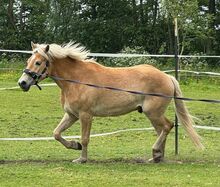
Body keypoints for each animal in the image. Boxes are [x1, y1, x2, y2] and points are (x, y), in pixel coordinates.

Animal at [18, 41, 204, 163]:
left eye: (38, 62)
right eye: (28, 61)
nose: (22, 83)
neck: (76, 80)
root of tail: (167, 77)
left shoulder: (86, 115)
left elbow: (85, 138)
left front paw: (82, 158)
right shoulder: (71, 115)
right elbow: (56, 133)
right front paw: (74, 145)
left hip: (153, 112)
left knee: (167, 126)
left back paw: (156, 152)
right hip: (152, 114)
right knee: (162, 130)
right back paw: (157, 157)